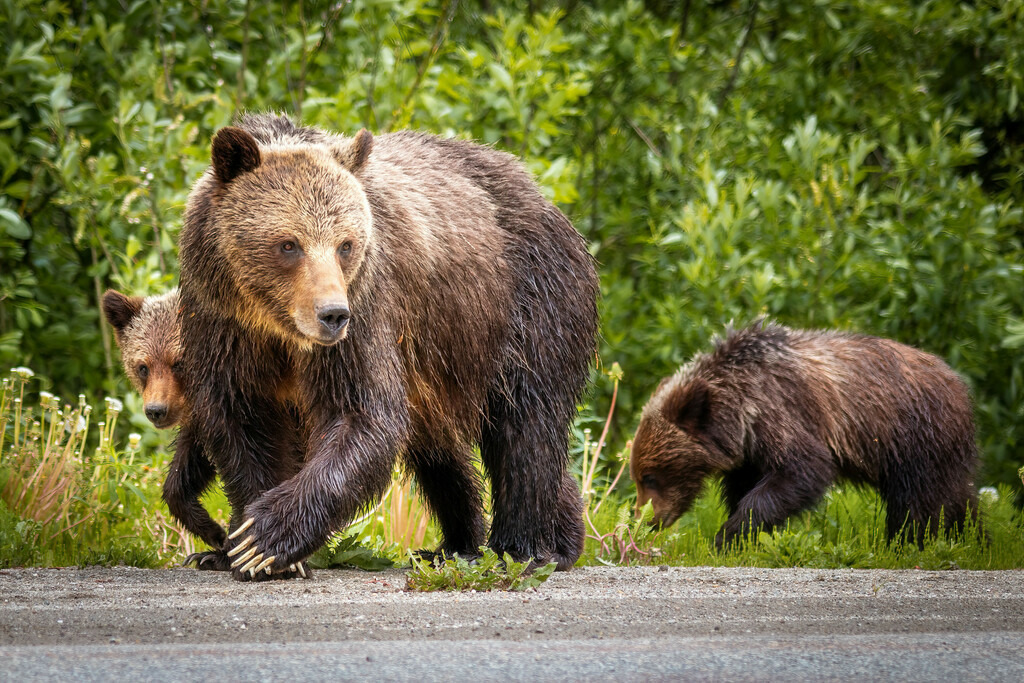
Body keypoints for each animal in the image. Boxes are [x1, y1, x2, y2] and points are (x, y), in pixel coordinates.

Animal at [176, 113, 599, 580]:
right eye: (289, 244)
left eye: (345, 244)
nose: (332, 314)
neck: (276, 326)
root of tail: (547, 201)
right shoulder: (222, 323)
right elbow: (242, 419)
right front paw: (233, 546)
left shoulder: (366, 308)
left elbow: (362, 415)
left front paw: (265, 539)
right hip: (436, 358)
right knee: (439, 447)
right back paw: (467, 545)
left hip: (521, 307)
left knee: (525, 423)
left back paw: (522, 549)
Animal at [630, 321, 979, 548]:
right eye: (638, 476)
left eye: (650, 477)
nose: (644, 520)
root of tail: (960, 385)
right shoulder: (749, 454)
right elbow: (743, 487)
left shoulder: (782, 410)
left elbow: (803, 469)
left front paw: (728, 536)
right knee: (957, 498)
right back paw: (973, 539)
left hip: (915, 437)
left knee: (918, 501)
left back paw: (905, 542)